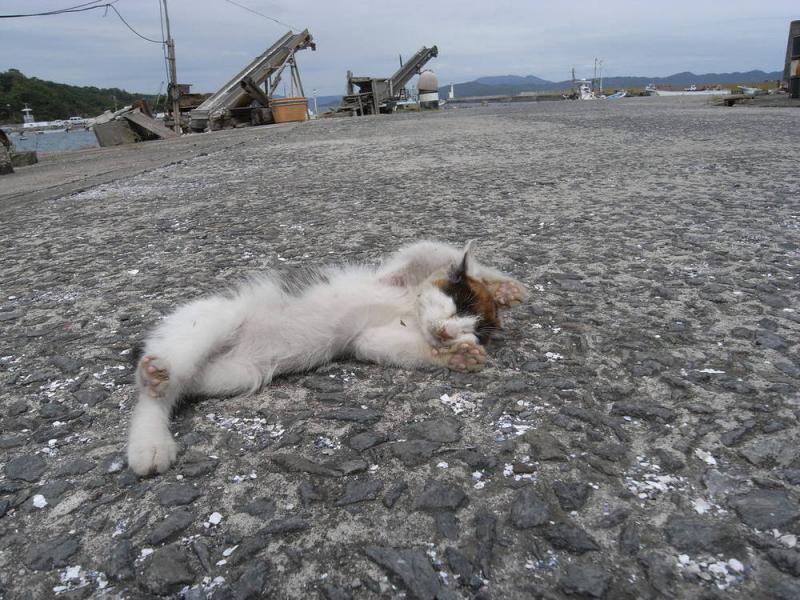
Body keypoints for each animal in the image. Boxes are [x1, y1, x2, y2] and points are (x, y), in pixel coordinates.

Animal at [128, 241, 528, 476]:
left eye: (473, 330)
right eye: (457, 306)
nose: (447, 333)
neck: (409, 308)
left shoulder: (369, 338)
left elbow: (394, 346)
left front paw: (457, 355)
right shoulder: (397, 270)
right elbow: (433, 248)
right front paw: (502, 286)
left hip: (236, 373)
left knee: (184, 385)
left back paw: (151, 437)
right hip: (213, 320)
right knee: (156, 387)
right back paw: (151, 406)